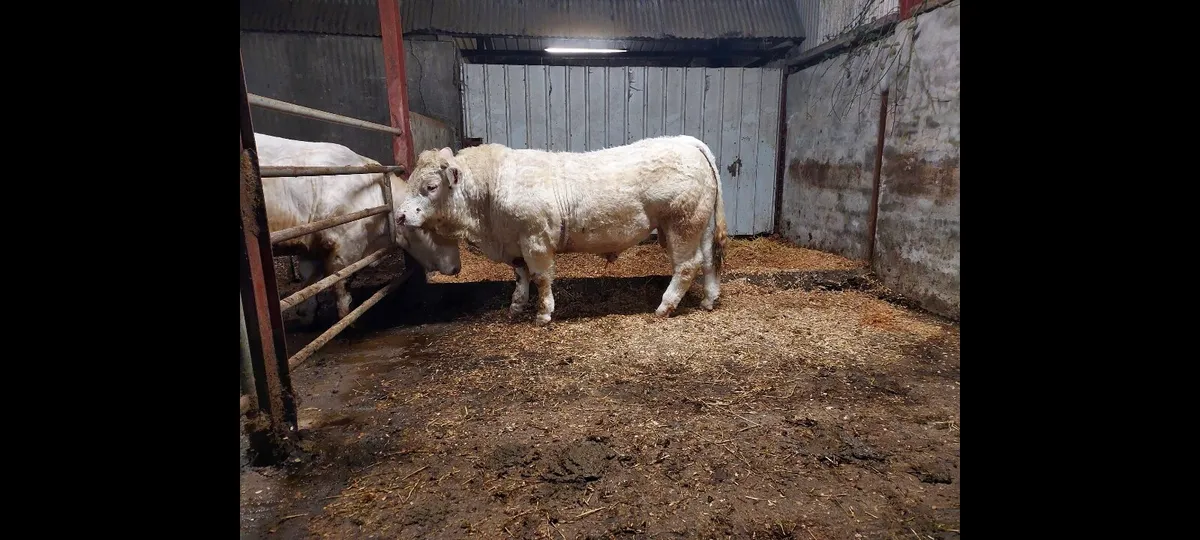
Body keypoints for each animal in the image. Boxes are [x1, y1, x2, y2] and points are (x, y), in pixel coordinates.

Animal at [256, 133, 462, 324]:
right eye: (436, 229)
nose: (456, 268)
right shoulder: (343, 245)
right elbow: (340, 282)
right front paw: (346, 319)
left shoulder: (312, 244)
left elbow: (309, 281)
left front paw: (306, 314)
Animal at [395, 135, 728, 326]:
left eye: (431, 186)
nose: (399, 215)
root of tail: (687, 142)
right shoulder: (514, 242)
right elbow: (520, 274)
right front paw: (516, 306)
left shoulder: (536, 238)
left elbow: (541, 276)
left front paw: (543, 313)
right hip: (699, 223)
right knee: (709, 260)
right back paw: (708, 300)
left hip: (681, 224)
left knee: (687, 265)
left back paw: (665, 307)